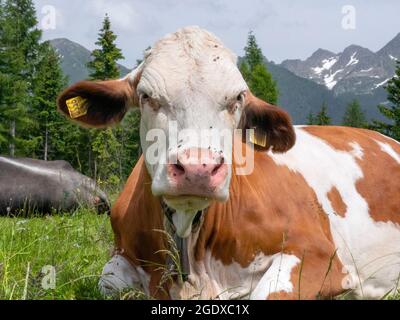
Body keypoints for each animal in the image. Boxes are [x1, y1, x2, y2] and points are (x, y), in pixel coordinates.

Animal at [57, 26, 400, 298]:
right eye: (146, 96)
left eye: (237, 99)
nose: (197, 169)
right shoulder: (120, 259)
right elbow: (108, 282)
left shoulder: (320, 253)